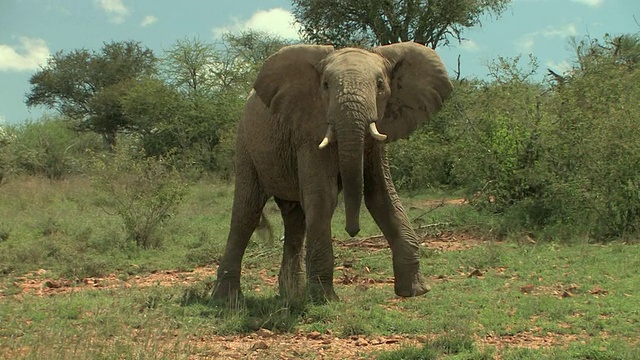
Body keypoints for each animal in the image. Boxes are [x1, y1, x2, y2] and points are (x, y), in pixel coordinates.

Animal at [212, 40, 452, 302]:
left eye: (380, 84)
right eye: (325, 86)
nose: (352, 231)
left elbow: (382, 197)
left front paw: (416, 291)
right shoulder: (309, 130)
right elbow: (323, 198)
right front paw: (323, 299)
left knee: (295, 220)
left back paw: (291, 296)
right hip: (246, 144)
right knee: (247, 213)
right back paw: (227, 300)